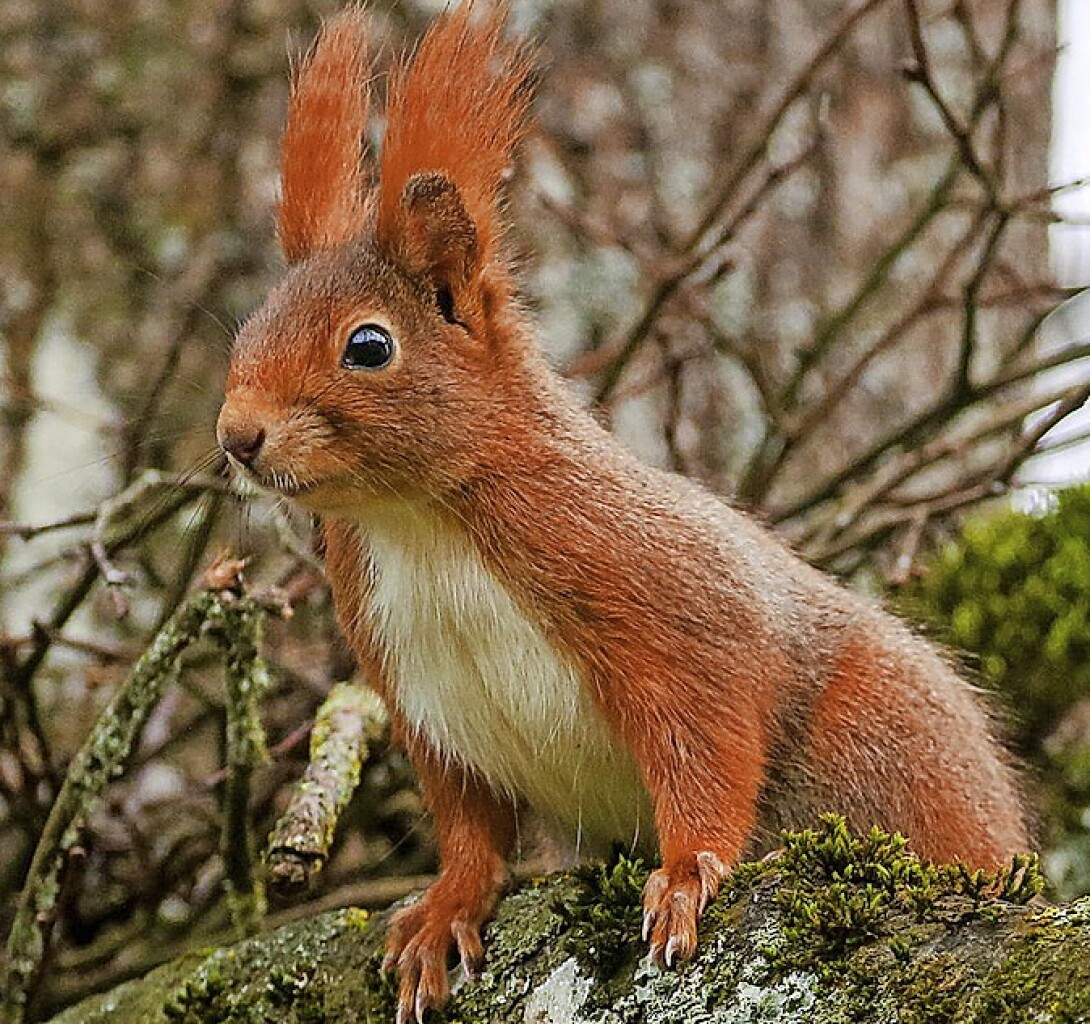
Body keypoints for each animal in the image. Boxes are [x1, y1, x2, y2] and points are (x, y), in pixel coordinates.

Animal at [214, 5, 1028, 1016]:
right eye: (249, 329)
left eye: (369, 346)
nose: (235, 435)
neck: (422, 525)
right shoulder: (423, 701)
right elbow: (470, 826)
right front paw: (445, 909)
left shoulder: (664, 601)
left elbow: (707, 745)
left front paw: (685, 875)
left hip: (885, 745)